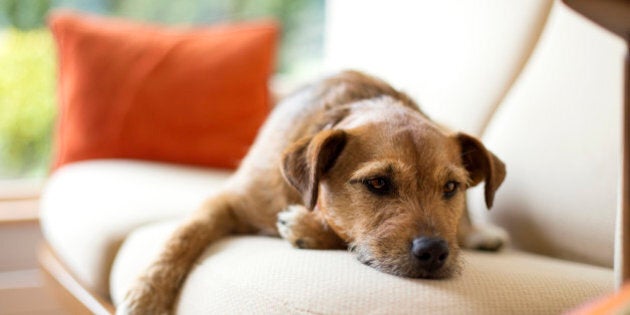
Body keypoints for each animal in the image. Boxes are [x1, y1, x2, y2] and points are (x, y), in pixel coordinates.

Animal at [119, 70, 508, 314]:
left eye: (451, 187)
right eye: (378, 183)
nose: (435, 252)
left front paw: (307, 228)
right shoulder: (227, 201)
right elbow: (183, 236)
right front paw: (146, 293)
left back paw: (483, 235)